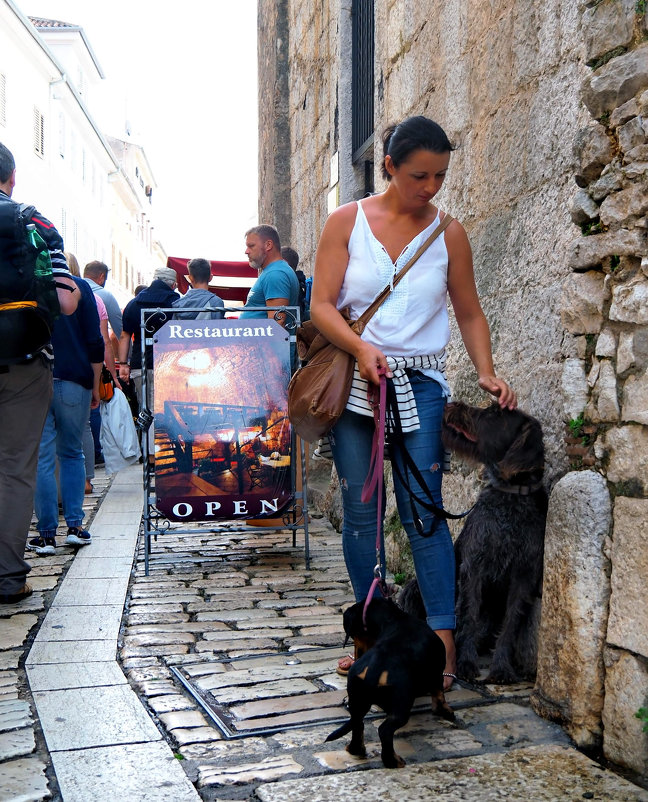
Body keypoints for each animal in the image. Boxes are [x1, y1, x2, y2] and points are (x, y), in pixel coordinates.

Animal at [326, 596, 454, 764]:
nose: (357, 653)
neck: (394, 618)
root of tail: (374, 668)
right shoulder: (437, 672)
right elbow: (439, 694)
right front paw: (446, 711)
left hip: (357, 701)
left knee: (358, 724)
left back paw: (356, 750)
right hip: (401, 704)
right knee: (384, 730)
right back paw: (393, 761)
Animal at [400, 400, 548, 680]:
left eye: (495, 414)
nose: (450, 403)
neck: (511, 497)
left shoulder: (524, 577)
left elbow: (510, 624)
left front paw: (501, 668)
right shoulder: (474, 567)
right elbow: (469, 614)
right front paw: (466, 664)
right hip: (412, 590)